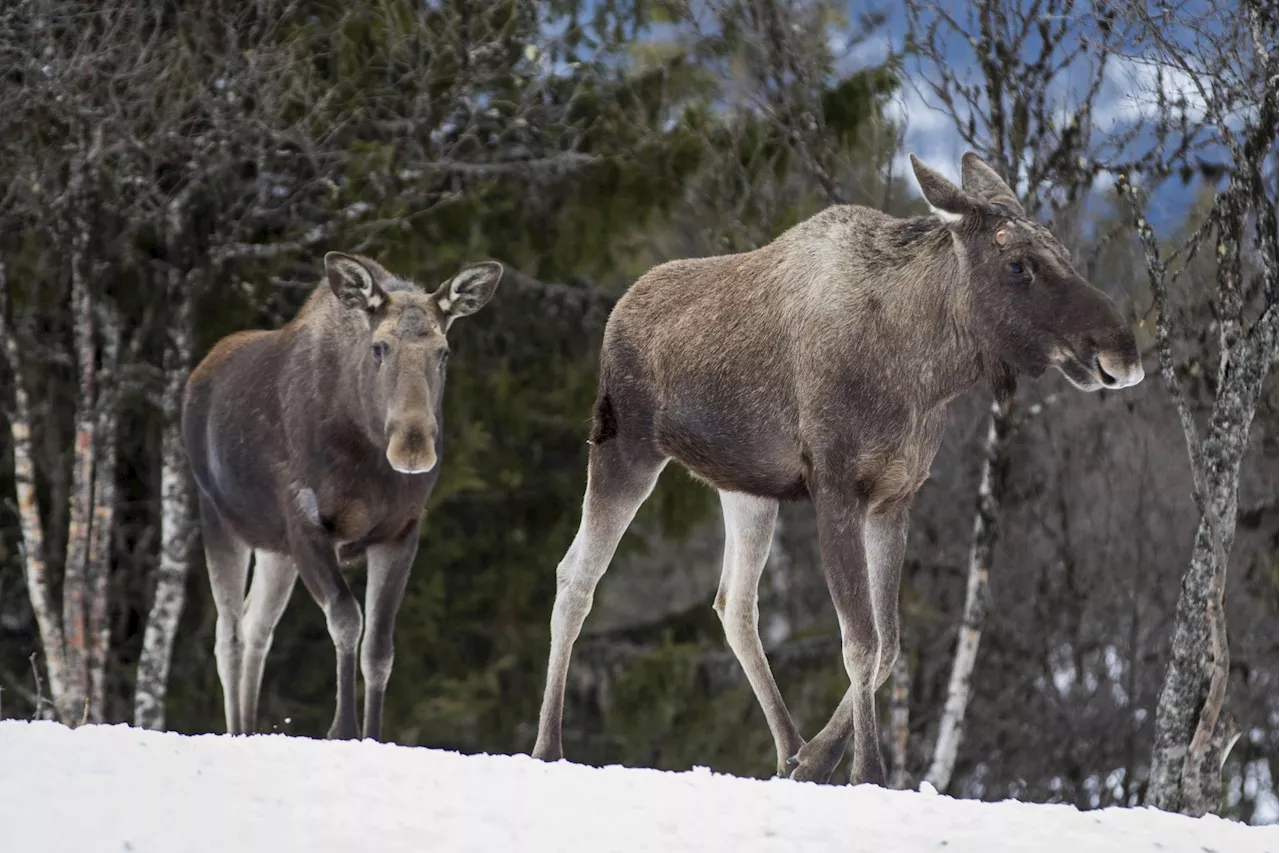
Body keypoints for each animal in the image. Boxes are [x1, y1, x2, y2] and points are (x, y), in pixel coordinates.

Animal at [183, 249, 501, 732]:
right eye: (379, 347)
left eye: (443, 352)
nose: (412, 446)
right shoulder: (308, 525)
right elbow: (348, 620)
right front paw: (343, 728)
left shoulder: (399, 533)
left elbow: (380, 648)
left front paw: (372, 733)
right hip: (218, 518)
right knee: (230, 635)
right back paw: (237, 729)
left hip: (275, 550)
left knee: (258, 627)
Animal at [524, 154, 1146, 783]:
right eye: (1018, 263)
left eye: (1062, 251)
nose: (1122, 352)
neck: (925, 372)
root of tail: (618, 310)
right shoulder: (837, 487)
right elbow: (861, 642)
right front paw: (866, 770)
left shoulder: (894, 498)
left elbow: (888, 643)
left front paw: (817, 757)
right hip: (625, 450)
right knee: (576, 577)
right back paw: (548, 745)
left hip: (745, 489)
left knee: (734, 604)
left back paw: (788, 747)